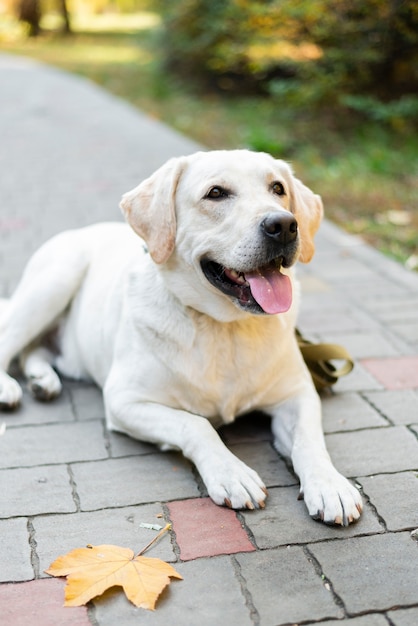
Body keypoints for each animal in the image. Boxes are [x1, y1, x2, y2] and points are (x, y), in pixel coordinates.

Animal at [0, 150, 362, 520]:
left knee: (34, 351)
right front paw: (232, 474)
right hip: (56, 279)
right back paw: (9, 388)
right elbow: (196, 425)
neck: (226, 328)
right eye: (216, 193)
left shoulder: (298, 393)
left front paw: (329, 485)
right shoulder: (124, 400)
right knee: (11, 339)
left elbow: (310, 440)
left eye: (278, 188)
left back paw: (43, 380)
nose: (284, 225)